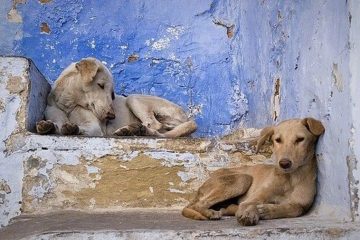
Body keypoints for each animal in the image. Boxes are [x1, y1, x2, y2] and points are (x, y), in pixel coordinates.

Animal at [36, 56, 197, 137]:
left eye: (113, 94)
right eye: (101, 85)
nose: (111, 116)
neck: (68, 104)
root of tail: (188, 118)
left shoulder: (95, 128)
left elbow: (81, 128)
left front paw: (73, 128)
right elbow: (57, 125)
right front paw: (49, 126)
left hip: (133, 98)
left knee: (154, 127)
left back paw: (136, 130)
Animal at [181, 118, 324, 227]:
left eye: (300, 139)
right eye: (278, 140)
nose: (284, 163)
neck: (290, 178)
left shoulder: (301, 205)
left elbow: (294, 209)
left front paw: (267, 210)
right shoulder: (256, 197)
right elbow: (249, 203)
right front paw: (249, 214)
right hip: (243, 179)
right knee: (199, 204)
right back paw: (211, 213)